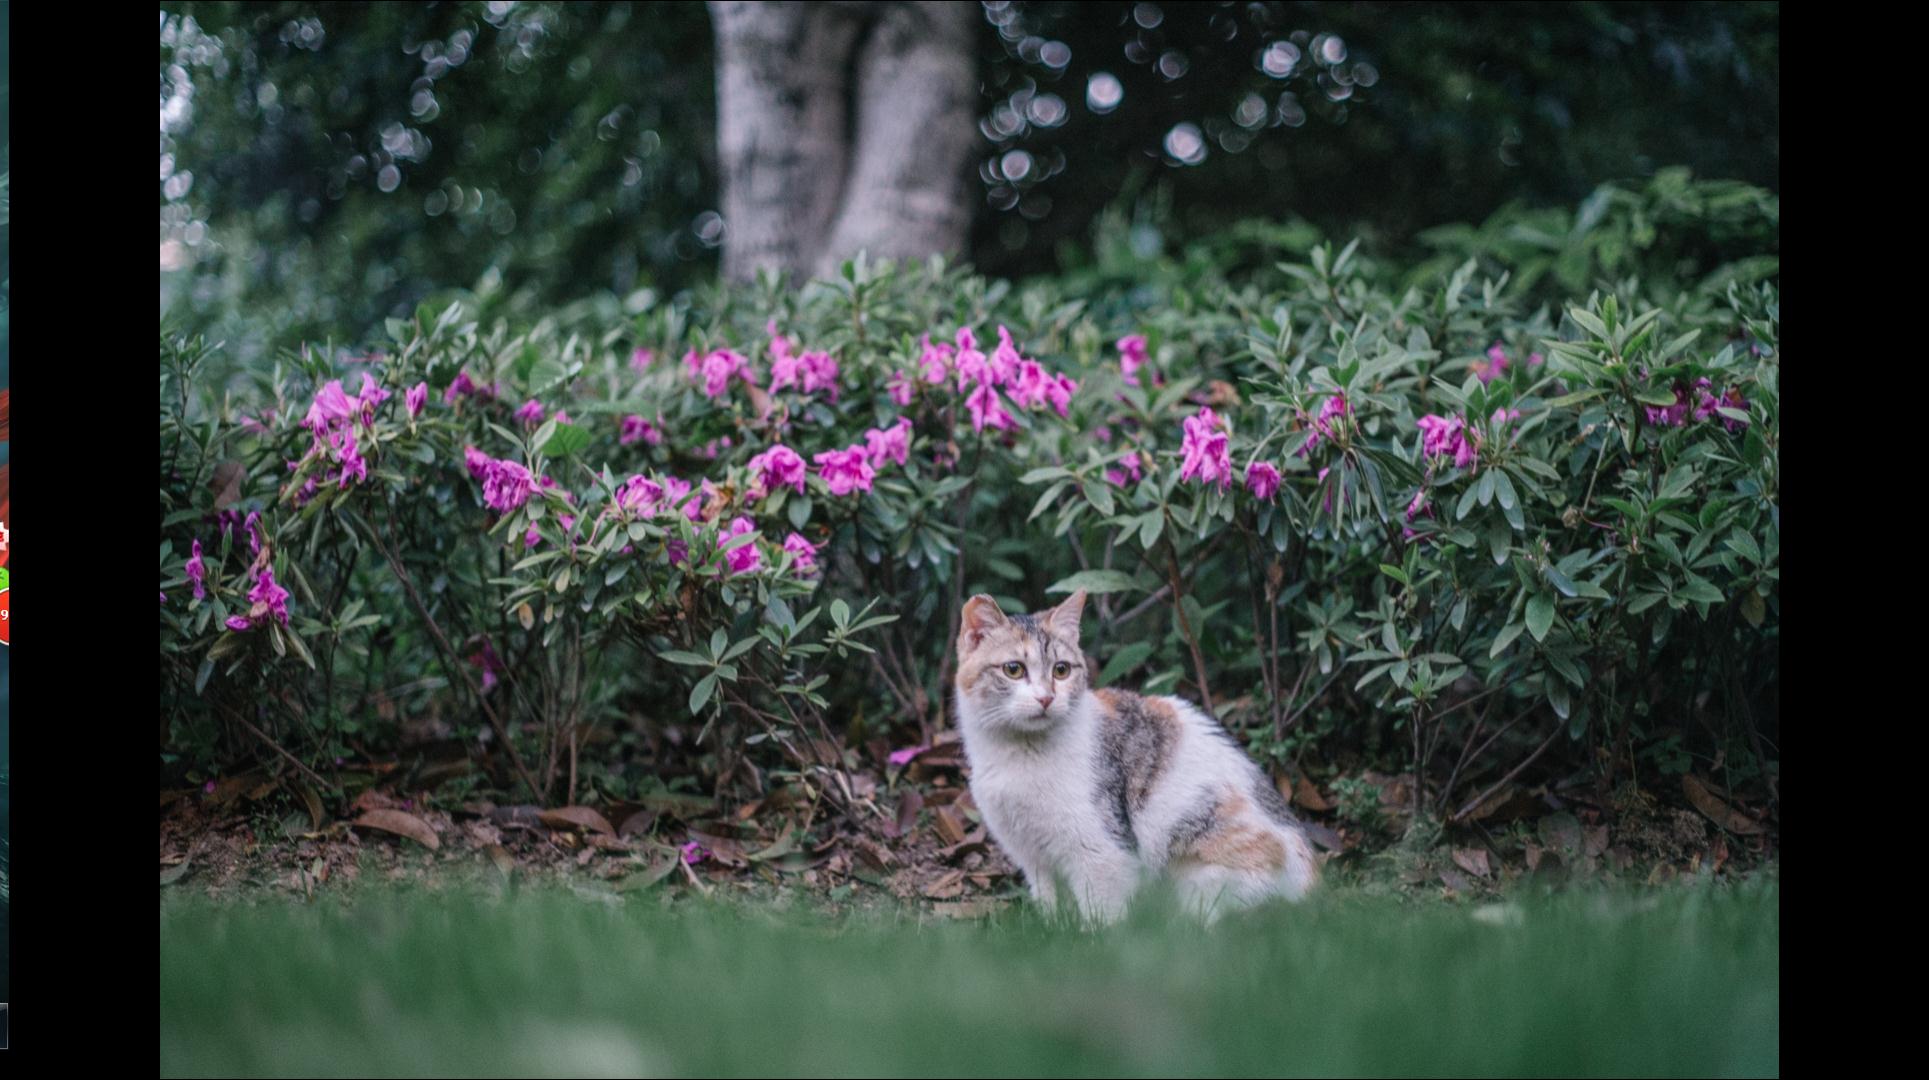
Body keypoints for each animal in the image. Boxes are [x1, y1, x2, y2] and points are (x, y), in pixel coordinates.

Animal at [952, 586, 1319, 925]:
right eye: (1013, 669)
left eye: (1061, 670)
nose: (1045, 698)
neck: (1020, 752)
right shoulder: (1034, 856)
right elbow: (1050, 903)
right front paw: (1053, 928)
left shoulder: (1101, 851)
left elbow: (1102, 915)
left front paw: (1091, 940)